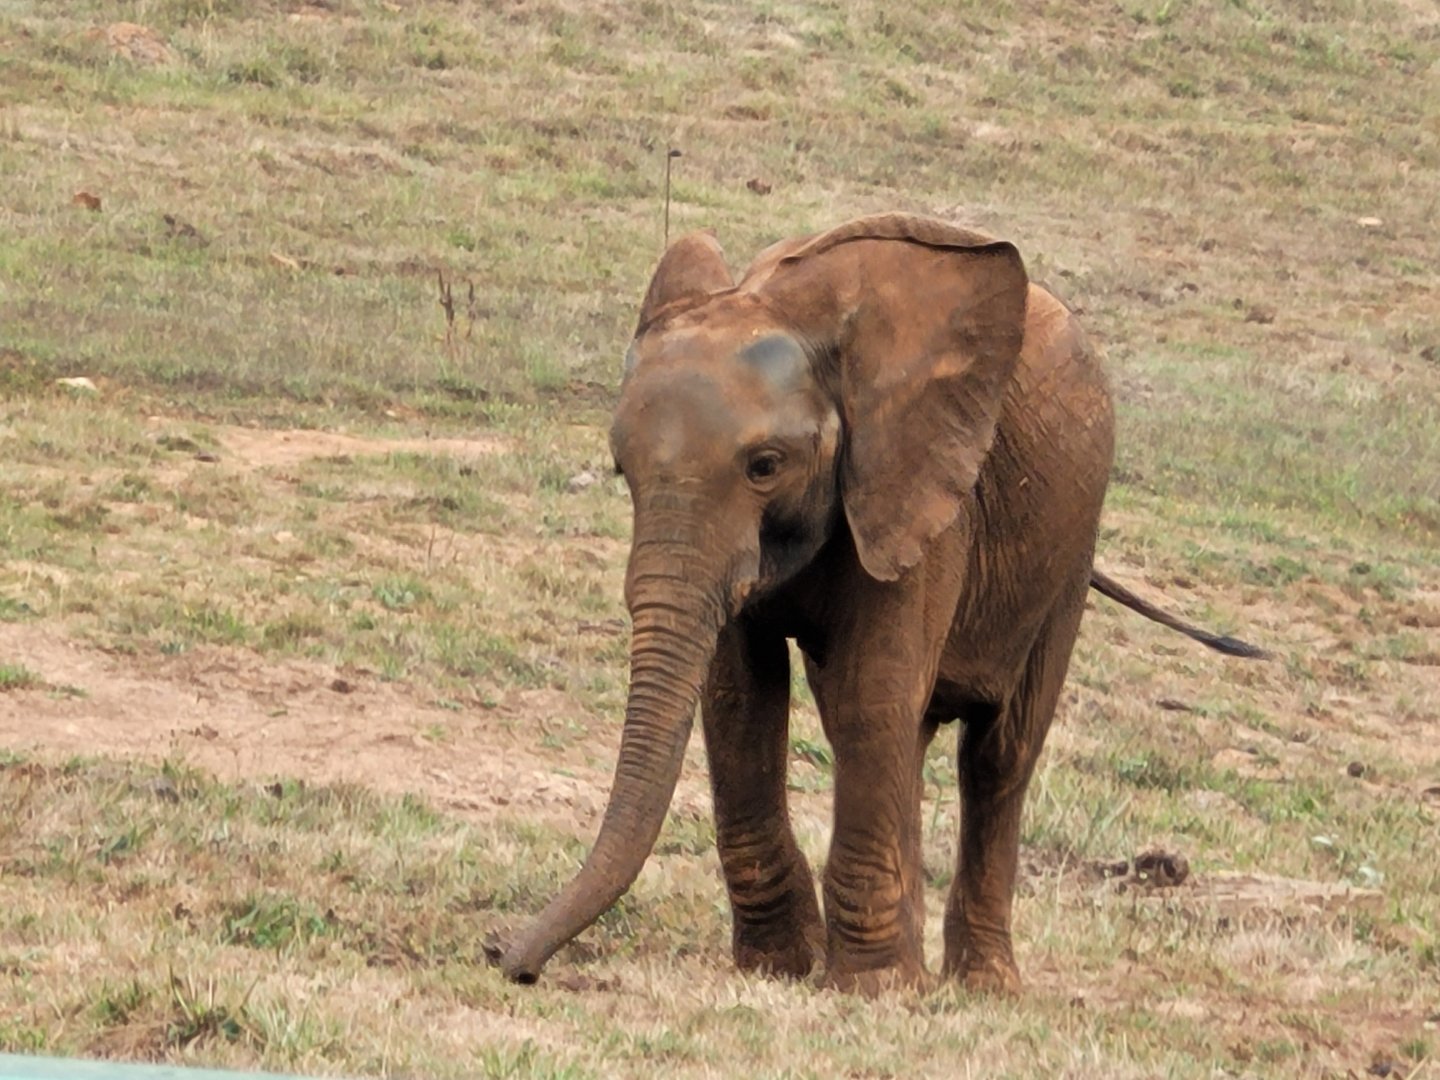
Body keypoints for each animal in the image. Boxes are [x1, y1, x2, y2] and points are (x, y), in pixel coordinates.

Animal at [488, 214, 1264, 995]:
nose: (505, 957)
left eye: (766, 466)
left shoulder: (918, 483)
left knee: (998, 753)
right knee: (903, 732)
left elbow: (871, 693)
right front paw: (783, 970)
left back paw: (982, 985)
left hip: (1069, 551)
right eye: (622, 468)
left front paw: (871, 988)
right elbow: (741, 697)